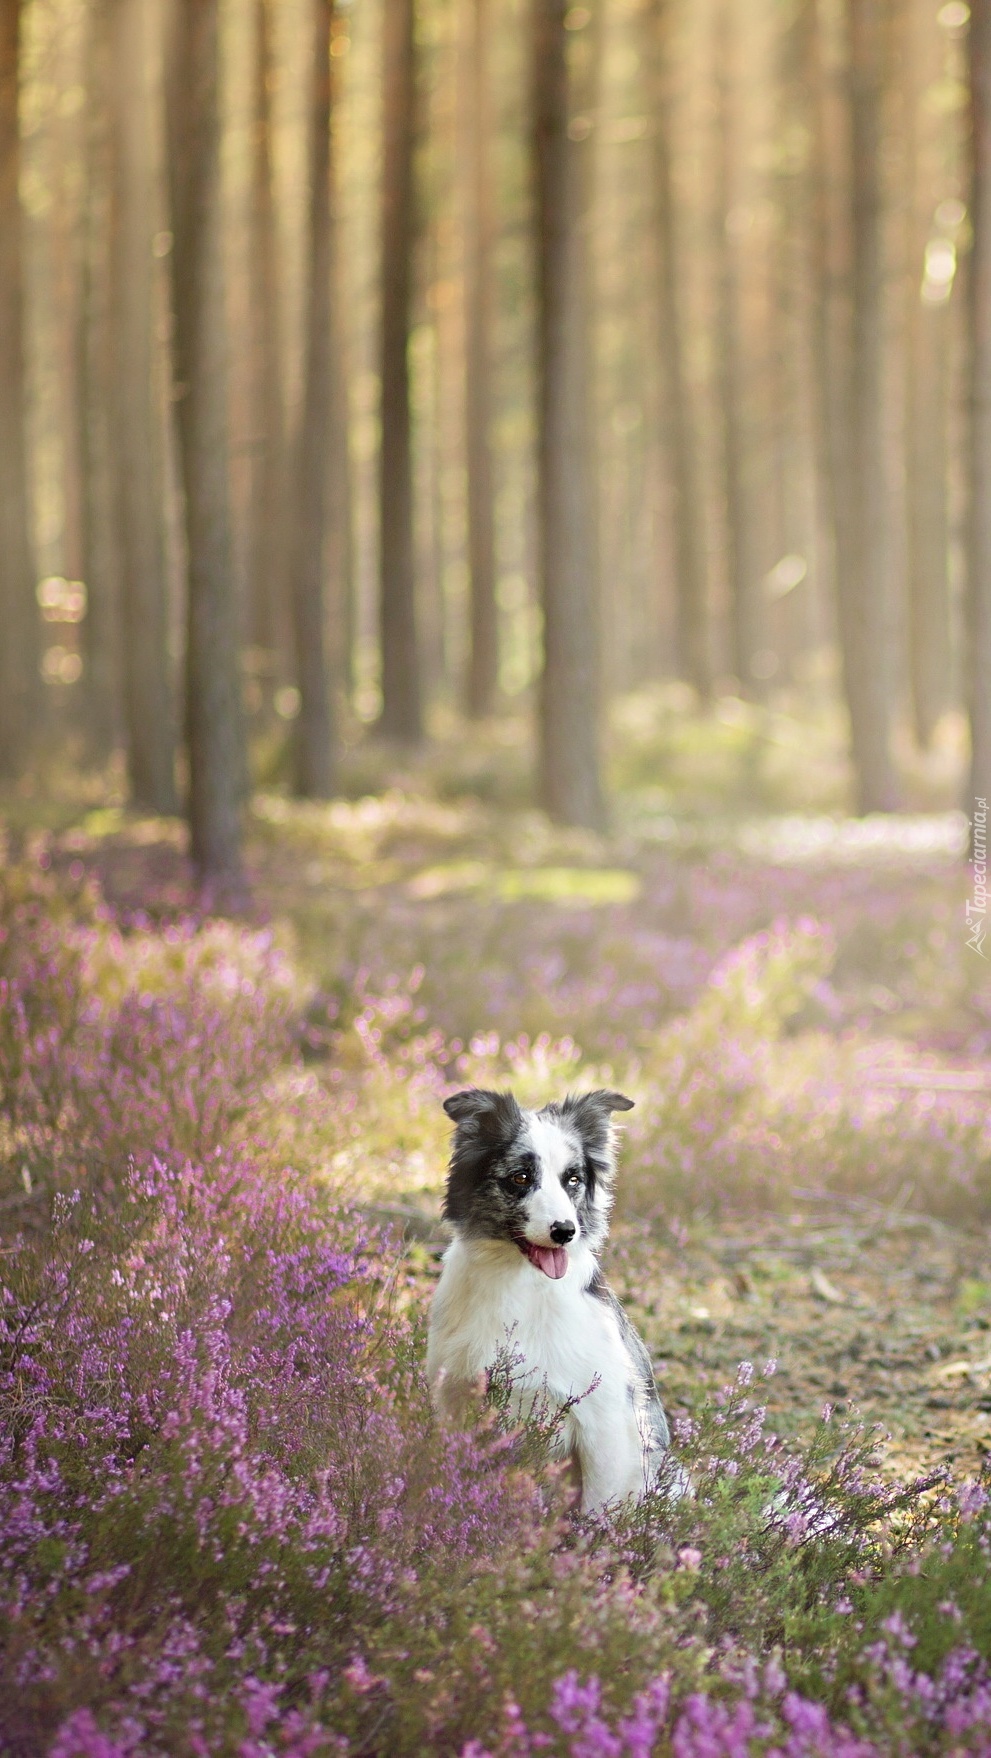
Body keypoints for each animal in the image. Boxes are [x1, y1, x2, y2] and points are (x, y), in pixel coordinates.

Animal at [425, 1082, 681, 1511]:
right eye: (521, 1177)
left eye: (573, 1180)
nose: (565, 1231)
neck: (521, 1285)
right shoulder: (454, 1398)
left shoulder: (604, 1422)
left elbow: (598, 1511)